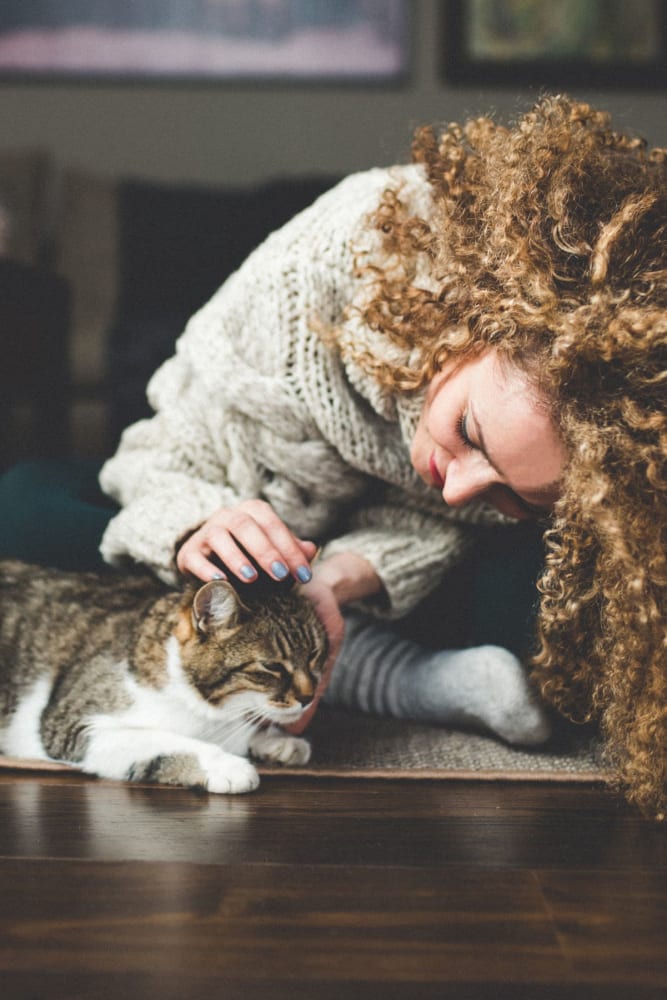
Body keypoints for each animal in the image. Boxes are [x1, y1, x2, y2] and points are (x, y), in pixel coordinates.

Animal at [0, 560, 330, 792]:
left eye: (315, 654)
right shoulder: (73, 725)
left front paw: (277, 741)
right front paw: (226, 765)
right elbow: (163, 740)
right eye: (272, 666)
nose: (308, 697)